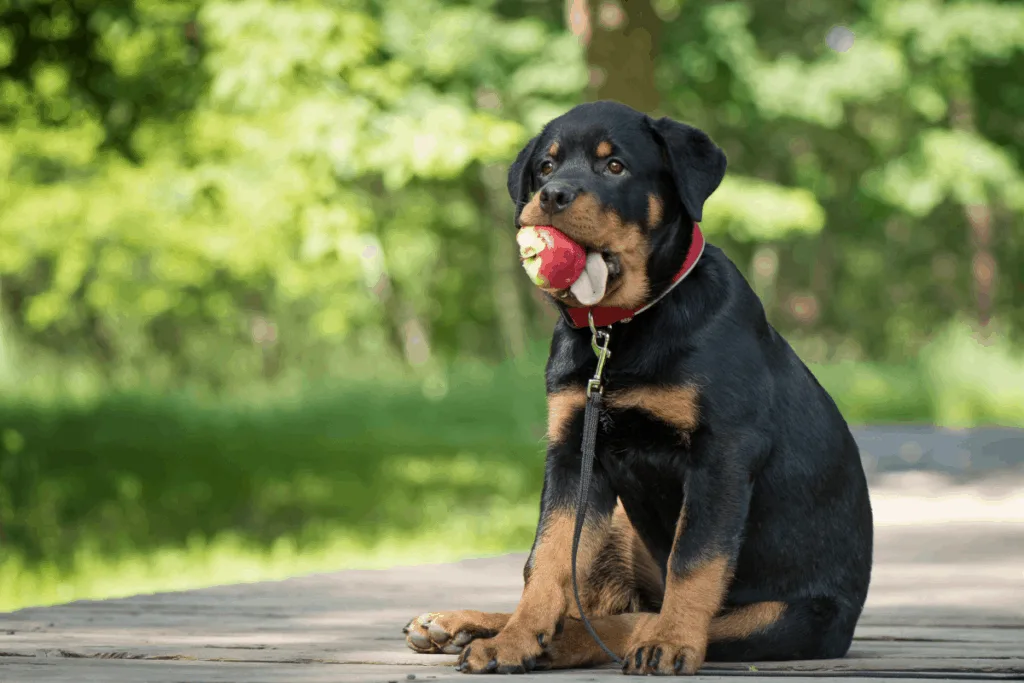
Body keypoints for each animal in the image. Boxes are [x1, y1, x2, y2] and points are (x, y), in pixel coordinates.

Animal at [399, 98, 872, 675]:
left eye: (615, 166)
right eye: (546, 167)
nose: (551, 196)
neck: (619, 330)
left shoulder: (723, 452)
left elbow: (695, 560)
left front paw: (671, 642)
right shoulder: (573, 452)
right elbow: (547, 557)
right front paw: (514, 640)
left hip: (784, 617)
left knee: (632, 620)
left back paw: (579, 642)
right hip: (621, 526)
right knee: (600, 604)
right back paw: (467, 625)